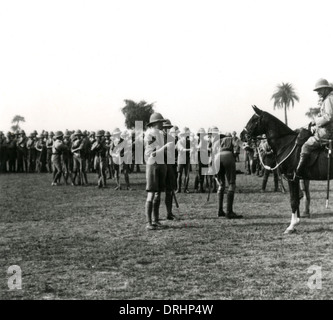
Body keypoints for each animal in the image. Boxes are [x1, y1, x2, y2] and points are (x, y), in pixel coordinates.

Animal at [240, 106, 330, 234]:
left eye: (254, 119)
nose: (242, 135)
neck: (286, 144)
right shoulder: (295, 179)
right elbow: (296, 199)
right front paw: (296, 222)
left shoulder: (291, 178)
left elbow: (293, 201)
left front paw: (291, 226)